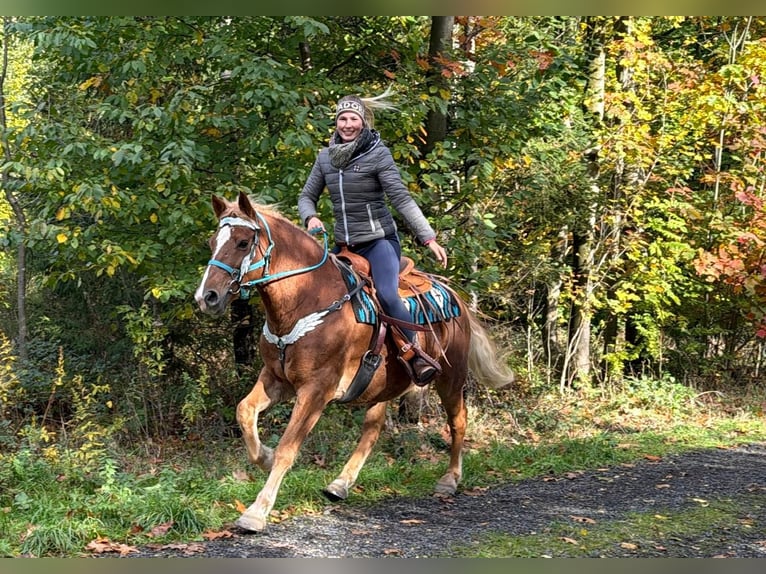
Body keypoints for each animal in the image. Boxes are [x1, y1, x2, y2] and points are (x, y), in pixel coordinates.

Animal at [194, 191, 514, 532]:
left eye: (243, 242)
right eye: (213, 241)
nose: (207, 297)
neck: (307, 299)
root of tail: (453, 294)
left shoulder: (316, 390)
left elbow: (288, 448)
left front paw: (257, 511)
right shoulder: (275, 380)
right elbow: (244, 412)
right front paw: (263, 457)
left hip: (450, 378)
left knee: (457, 421)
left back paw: (450, 479)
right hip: (384, 385)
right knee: (372, 430)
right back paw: (341, 483)